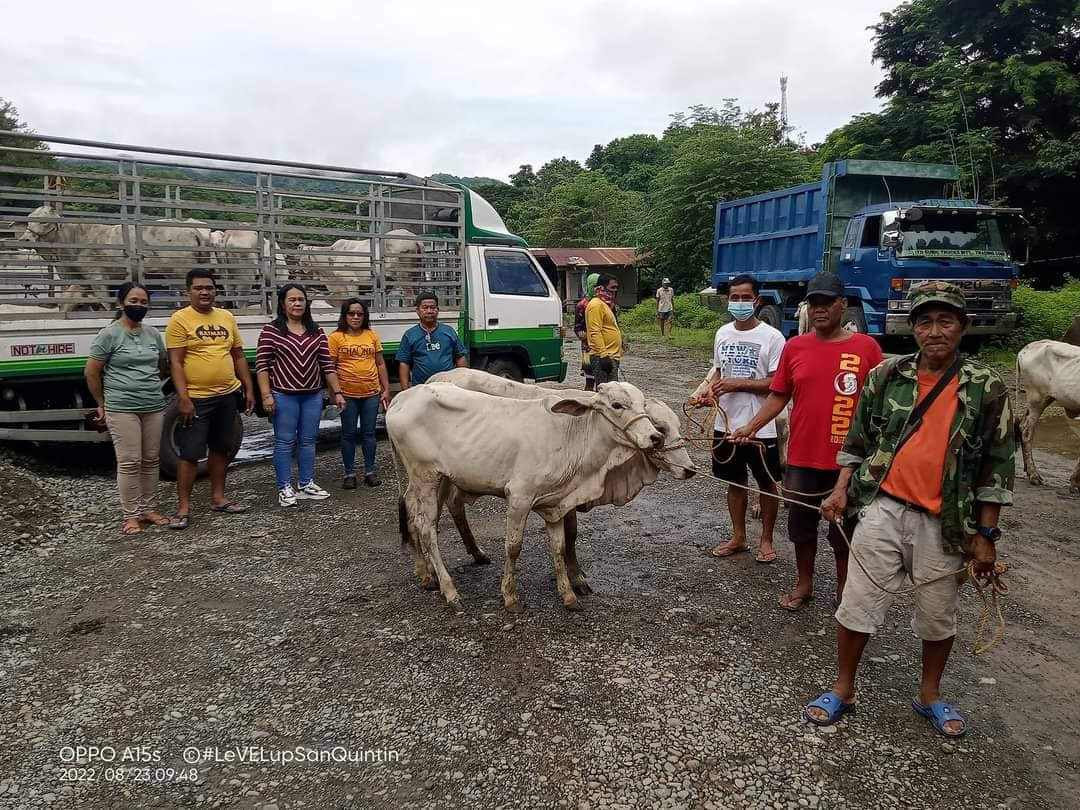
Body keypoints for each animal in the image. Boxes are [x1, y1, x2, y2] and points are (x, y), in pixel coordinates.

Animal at [425, 367, 695, 596]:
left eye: (677, 425)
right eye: (661, 428)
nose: (690, 469)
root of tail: (436, 377)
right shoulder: (567, 497)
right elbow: (571, 536)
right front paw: (576, 578)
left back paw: (475, 553)